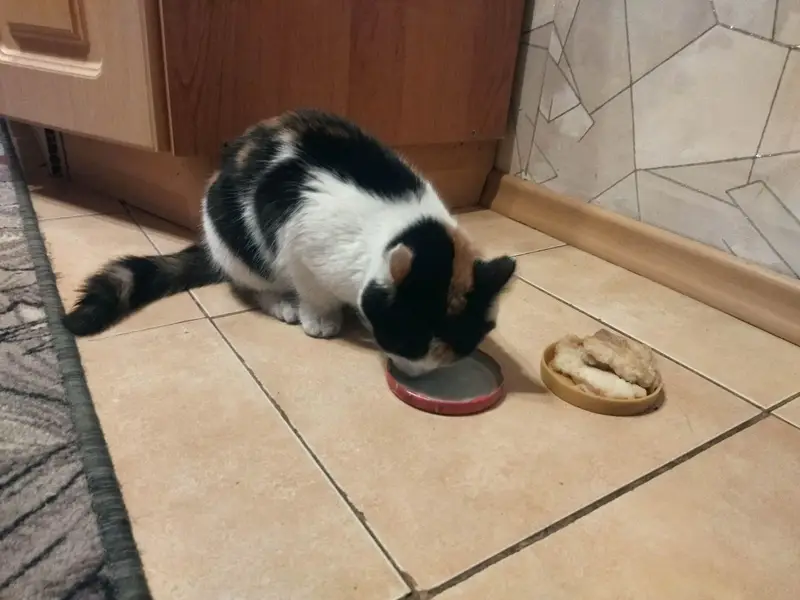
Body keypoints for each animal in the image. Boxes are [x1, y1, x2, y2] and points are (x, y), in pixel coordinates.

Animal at [62, 109, 516, 375]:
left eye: (458, 347)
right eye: (406, 341)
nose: (413, 374)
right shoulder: (300, 245)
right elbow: (313, 290)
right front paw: (321, 318)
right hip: (237, 245)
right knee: (253, 284)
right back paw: (284, 304)